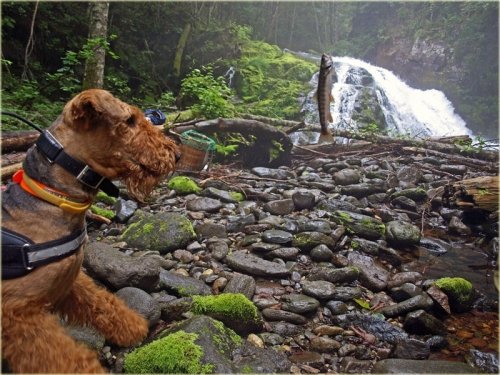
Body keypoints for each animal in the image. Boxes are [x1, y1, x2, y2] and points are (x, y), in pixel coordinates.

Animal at [0, 89, 178, 374]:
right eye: (129, 120)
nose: (177, 153)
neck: (51, 198)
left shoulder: (73, 279)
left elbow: (104, 303)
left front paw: (133, 327)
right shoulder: (17, 311)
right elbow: (60, 356)